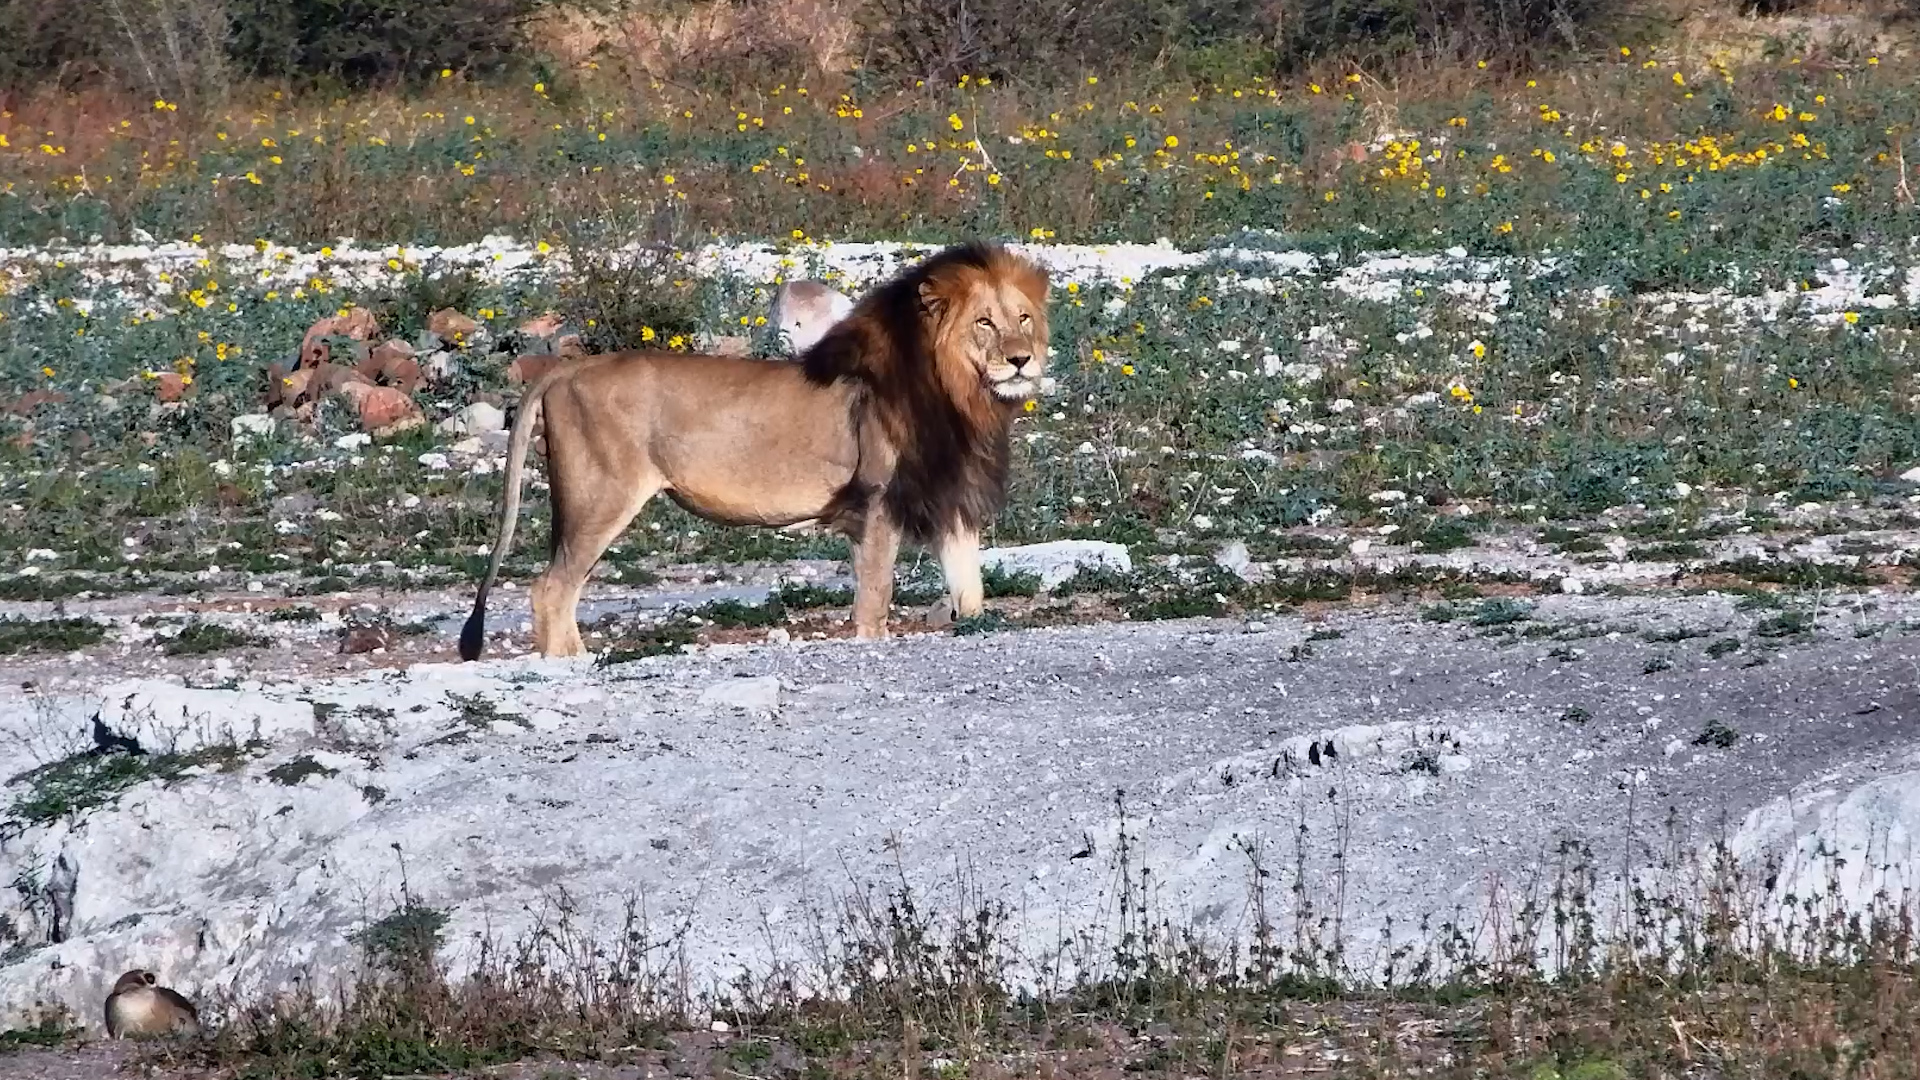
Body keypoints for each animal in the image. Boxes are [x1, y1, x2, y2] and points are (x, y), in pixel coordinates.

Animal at [459, 242, 1051, 661]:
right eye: (984, 323)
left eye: (1022, 319)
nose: (1022, 360)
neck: (965, 394)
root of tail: (565, 369)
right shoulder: (877, 502)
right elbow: (875, 598)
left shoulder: (950, 503)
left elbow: (970, 594)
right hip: (599, 498)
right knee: (550, 590)